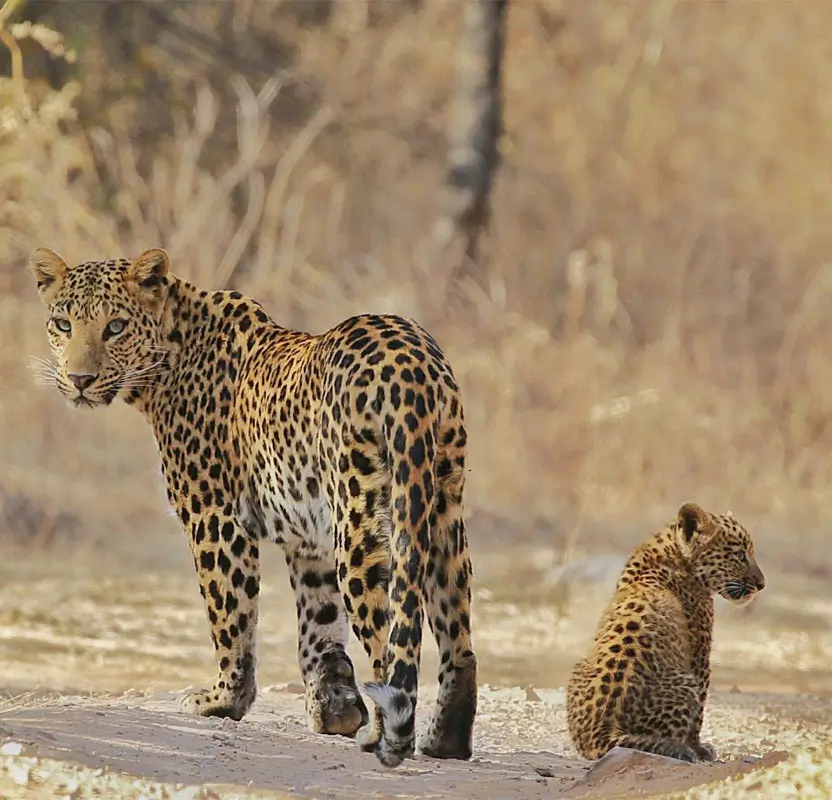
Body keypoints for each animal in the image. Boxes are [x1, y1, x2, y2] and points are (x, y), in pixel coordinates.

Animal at [27, 246, 478, 768]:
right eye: (63, 324)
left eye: (115, 327)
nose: (80, 380)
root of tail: (412, 364)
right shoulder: (309, 538)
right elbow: (319, 625)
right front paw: (336, 708)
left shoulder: (213, 516)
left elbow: (229, 613)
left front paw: (223, 700)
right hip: (440, 505)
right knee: (456, 629)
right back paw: (446, 740)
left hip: (361, 519)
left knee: (391, 638)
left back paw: (388, 735)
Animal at [566, 501, 766, 764]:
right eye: (740, 555)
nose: (762, 584)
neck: (674, 553)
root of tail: (600, 734)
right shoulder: (699, 655)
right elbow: (699, 712)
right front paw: (700, 749)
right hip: (685, 684)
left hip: (578, 668)